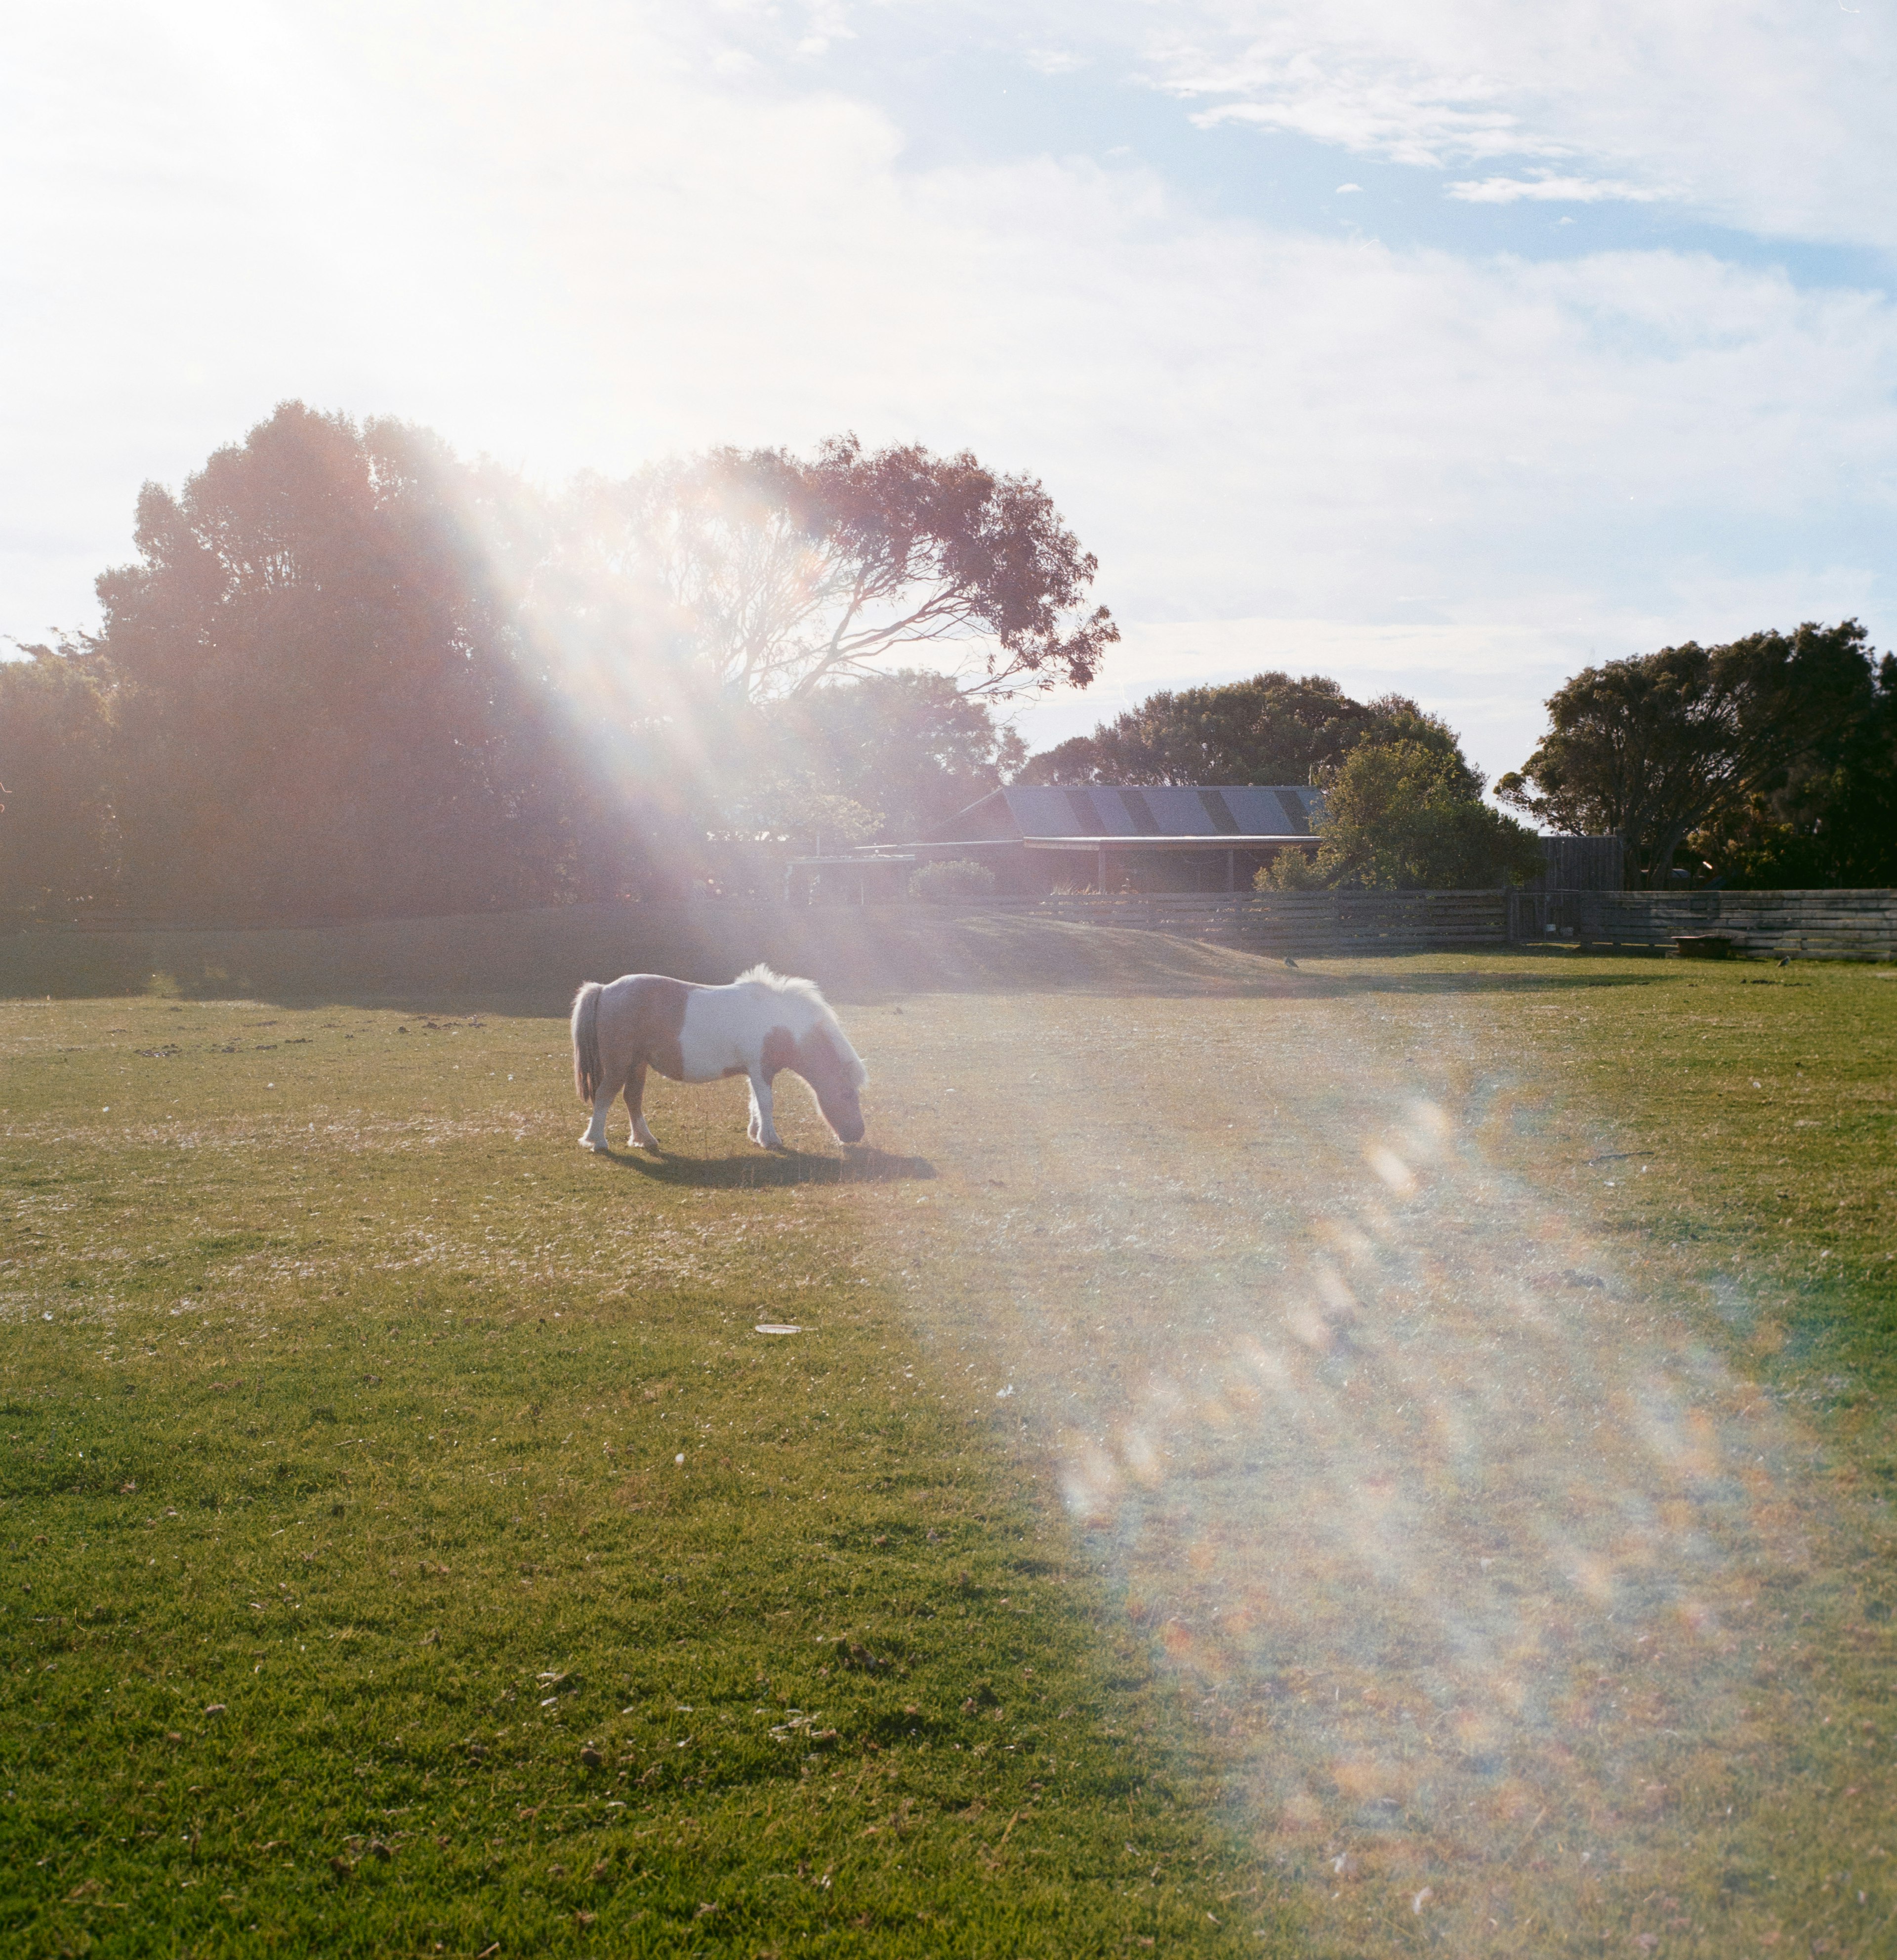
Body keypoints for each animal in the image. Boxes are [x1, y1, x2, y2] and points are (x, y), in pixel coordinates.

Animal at [572, 964, 866, 1144]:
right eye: (846, 1094)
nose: (858, 1135)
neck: (782, 1021)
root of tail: (604, 989)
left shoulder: (755, 1071)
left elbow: (755, 1103)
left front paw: (755, 1134)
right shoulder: (760, 1069)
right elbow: (766, 1103)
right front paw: (770, 1140)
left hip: (637, 1064)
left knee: (632, 1099)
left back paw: (645, 1140)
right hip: (619, 1065)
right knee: (605, 1096)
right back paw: (596, 1141)